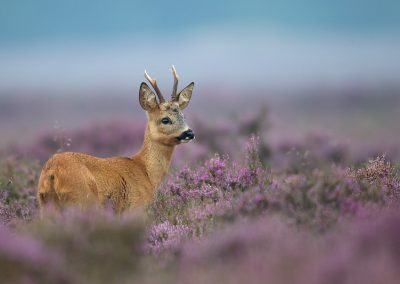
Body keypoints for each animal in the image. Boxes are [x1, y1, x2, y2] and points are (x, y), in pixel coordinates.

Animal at [36, 66, 196, 213]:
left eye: (183, 116)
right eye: (165, 119)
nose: (189, 133)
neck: (146, 171)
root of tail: (52, 172)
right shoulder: (137, 206)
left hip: (46, 204)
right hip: (82, 200)